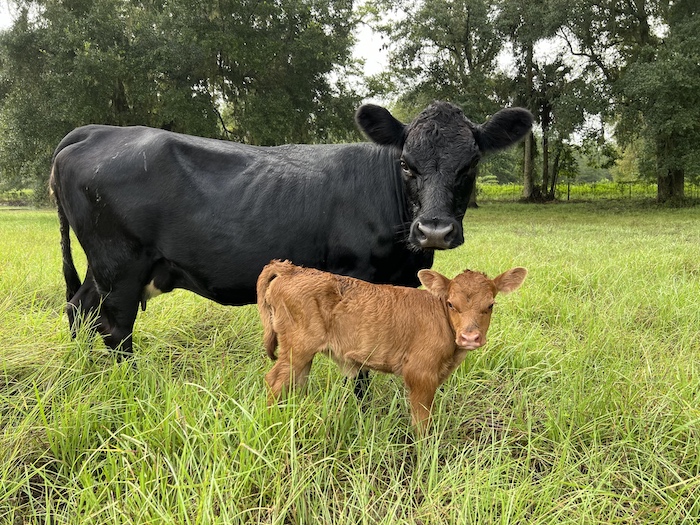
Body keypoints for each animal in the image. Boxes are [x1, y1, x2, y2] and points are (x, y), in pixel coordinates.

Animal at [50, 101, 532, 363]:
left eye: (470, 164)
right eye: (406, 163)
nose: (433, 230)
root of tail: (95, 131)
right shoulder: (356, 278)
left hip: (105, 267)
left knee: (79, 309)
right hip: (120, 266)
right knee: (114, 328)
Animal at [257, 260, 527, 433]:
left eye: (490, 305)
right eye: (451, 304)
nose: (470, 337)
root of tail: (292, 269)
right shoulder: (421, 373)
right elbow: (422, 425)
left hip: (302, 354)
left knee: (295, 384)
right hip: (298, 346)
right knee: (275, 381)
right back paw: (272, 424)